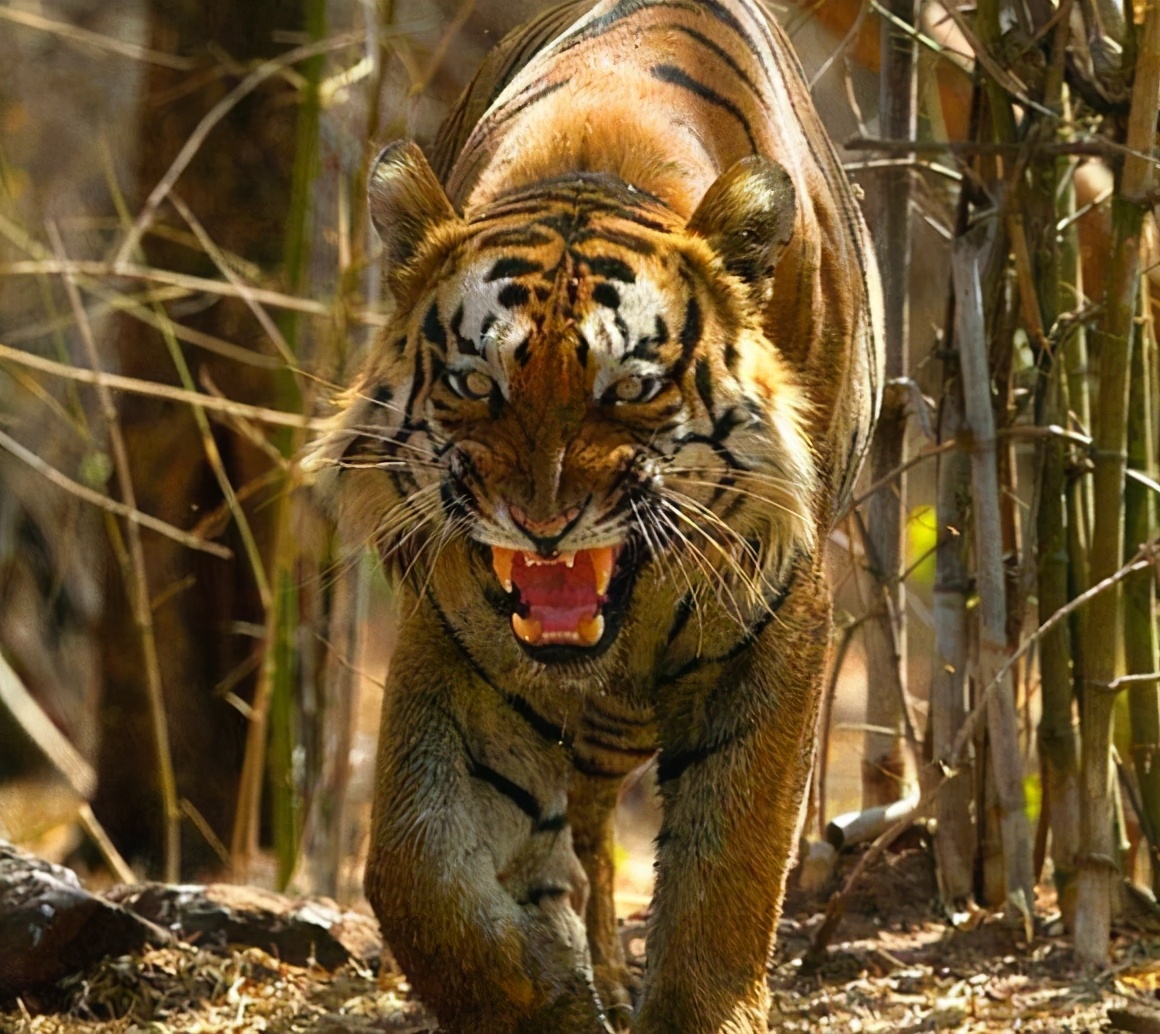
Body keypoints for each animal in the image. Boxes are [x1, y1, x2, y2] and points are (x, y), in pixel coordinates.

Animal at [303, 0, 881, 1030]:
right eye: (474, 383)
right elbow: (420, 882)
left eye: (631, 389)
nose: (542, 521)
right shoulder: (460, 635)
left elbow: (728, 870)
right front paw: (546, 997)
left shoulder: (774, 611)